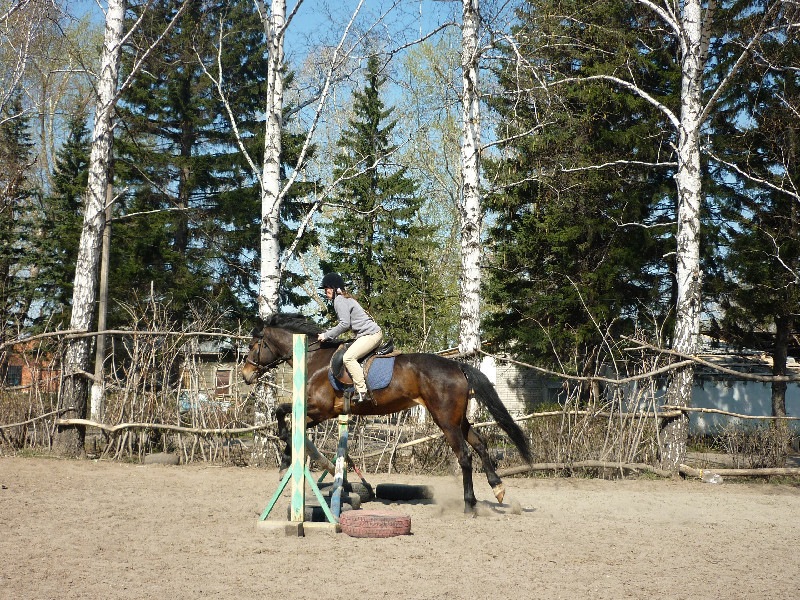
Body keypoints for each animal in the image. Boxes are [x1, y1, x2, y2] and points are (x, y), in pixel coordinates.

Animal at [241, 313, 532, 513]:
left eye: (254, 345)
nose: (245, 375)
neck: (315, 359)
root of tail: (457, 366)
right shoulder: (324, 414)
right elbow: (291, 423)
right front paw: (285, 462)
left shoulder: (320, 409)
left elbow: (280, 411)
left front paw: (283, 445)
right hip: (457, 419)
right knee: (480, 444)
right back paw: (497, 488)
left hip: (445, 421)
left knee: (465, 456)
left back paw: (470, 504)